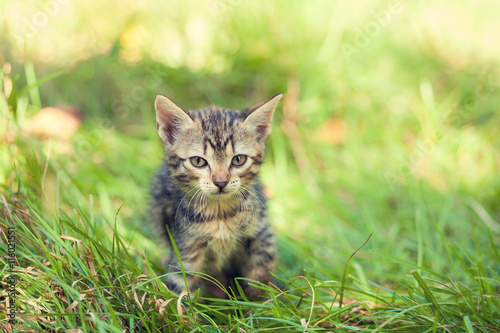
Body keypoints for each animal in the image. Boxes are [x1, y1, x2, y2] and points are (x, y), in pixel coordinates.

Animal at [148, 93, 282, 298]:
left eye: (239, 159)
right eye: (198, 161)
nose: (220, 182)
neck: (220, 214)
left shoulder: (261, 229)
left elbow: (263, 265)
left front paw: (256, 299)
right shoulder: (185, 246)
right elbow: (181, 286)